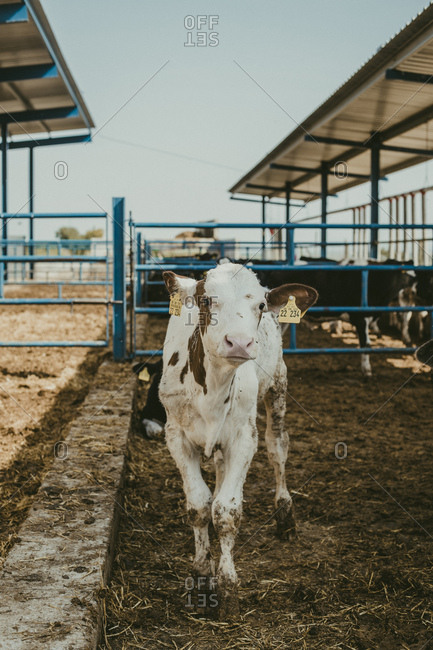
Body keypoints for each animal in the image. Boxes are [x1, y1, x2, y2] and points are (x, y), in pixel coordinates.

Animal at [158, 262, 318, 615]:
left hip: (278, 384)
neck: (212, 389)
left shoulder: (244, 436)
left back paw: (285, 514)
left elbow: (227, 511)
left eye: (260, 305)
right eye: (206, 301)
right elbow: (199, 505)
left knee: (277, 449)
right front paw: (202, 572)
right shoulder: (176, 435)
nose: (241, 343)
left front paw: (228, 585)